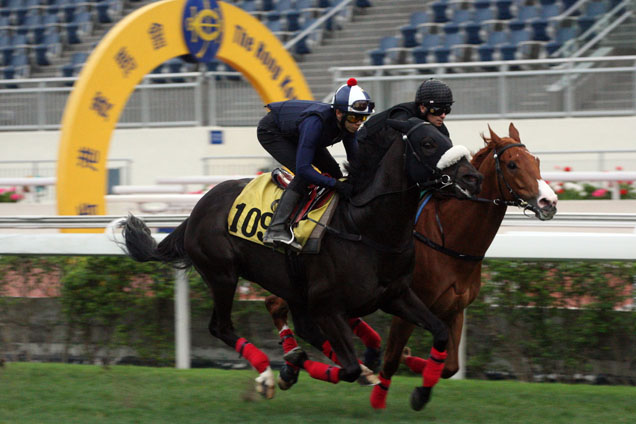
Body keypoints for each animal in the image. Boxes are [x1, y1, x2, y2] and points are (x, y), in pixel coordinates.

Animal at [119, 117, 480, 400]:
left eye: (446, 136)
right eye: (429, 143)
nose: (472, 177)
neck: (365, 228)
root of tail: (197, 209)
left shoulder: (396, 295)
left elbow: (439, 331)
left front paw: (420, 391)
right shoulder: (328, 305)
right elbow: (348, 368)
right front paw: (296, 369)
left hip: (290, 285)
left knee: (302, 328)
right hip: (223, 274)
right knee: (221, 327)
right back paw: (268, 373)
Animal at [264, 123, 556, 410]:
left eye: (536, 161)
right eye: (512, 165)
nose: (549, 202)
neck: (449, 240)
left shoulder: (454, 309)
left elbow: (450, 365)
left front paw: (417, 374)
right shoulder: (405, 304)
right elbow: (393, 358)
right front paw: (383, 394)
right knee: (276, 305)